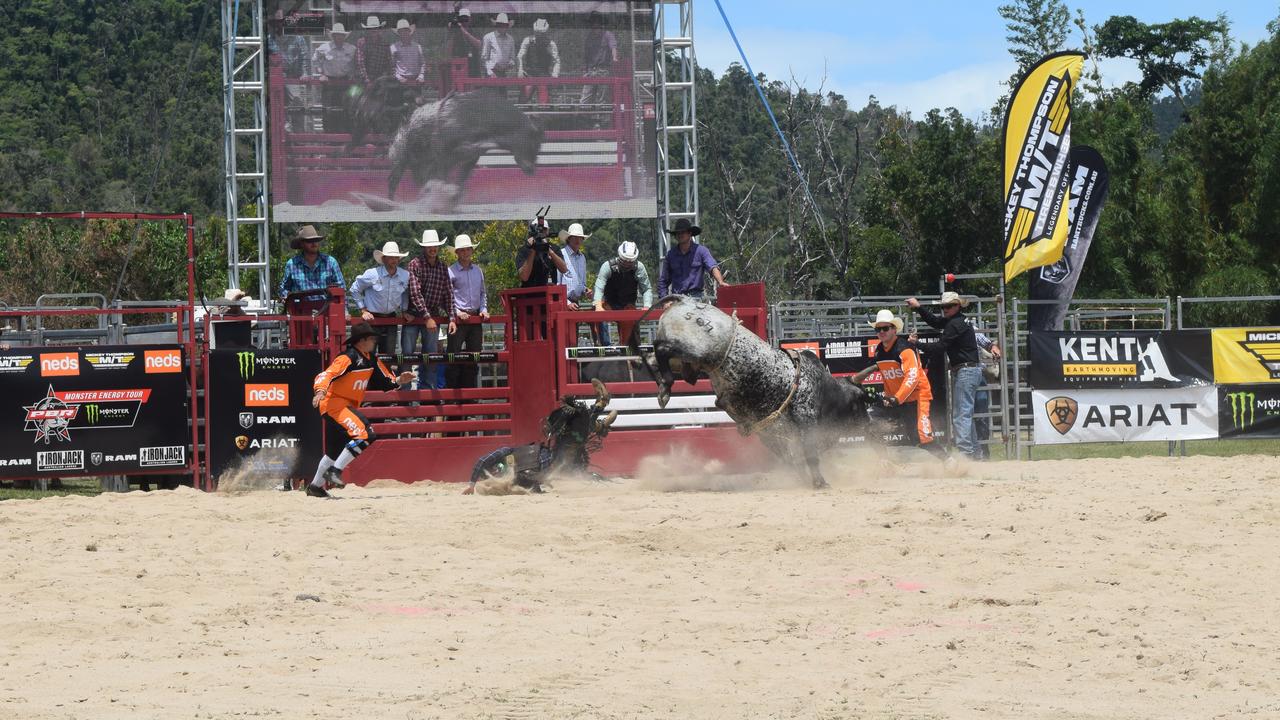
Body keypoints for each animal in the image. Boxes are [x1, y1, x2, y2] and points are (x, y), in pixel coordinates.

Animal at [629, 293, 870, 486]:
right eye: (861, 399)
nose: (869, 423)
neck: (823, 390)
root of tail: (686, 300)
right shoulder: (806, 419)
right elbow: (810, 454)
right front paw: (820, 482)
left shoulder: (771, 433)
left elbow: (792, 459)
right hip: (696, 351)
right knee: (661, 348)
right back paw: (665, 385)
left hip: (687, 358)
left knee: (654, 355)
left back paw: (657, 380)